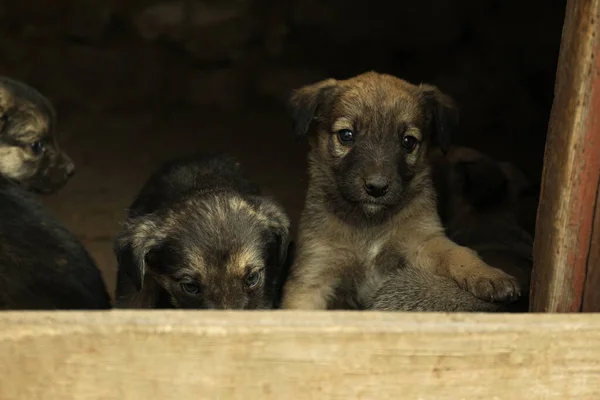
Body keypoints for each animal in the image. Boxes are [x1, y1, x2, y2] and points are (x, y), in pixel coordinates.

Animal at [280, 71, 520, 310]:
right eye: (346, 135)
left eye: (408, 141)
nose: (376, 188)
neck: (369, 224)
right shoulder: (313, 273)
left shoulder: (423, 242)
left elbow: (457, 252)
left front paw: (487, 274)